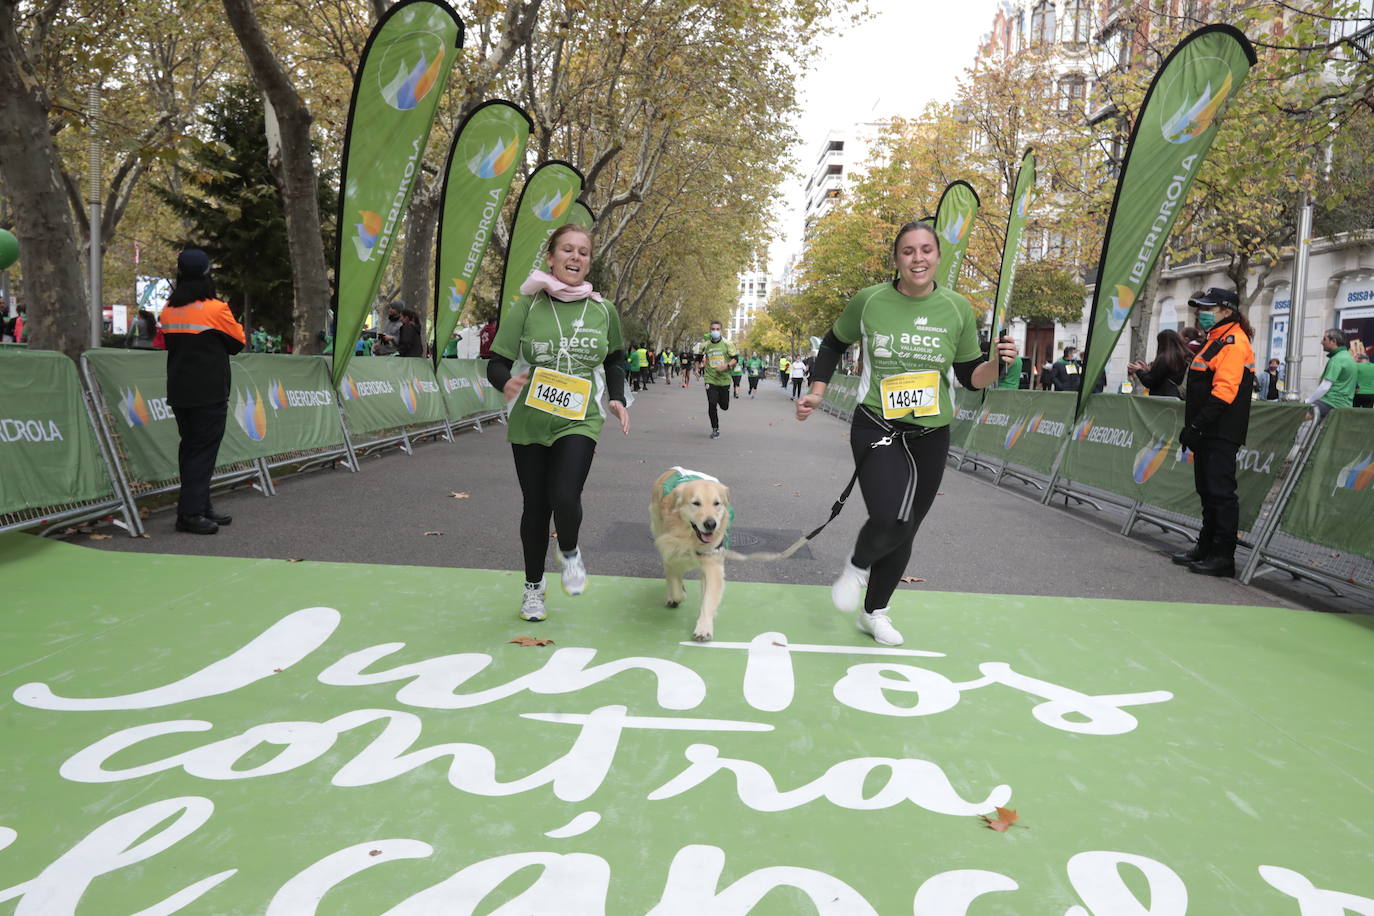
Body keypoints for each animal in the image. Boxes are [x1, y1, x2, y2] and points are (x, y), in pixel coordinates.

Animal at [651, 469, 730, 642]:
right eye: (696, 503)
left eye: (716, 503)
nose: (711, 524)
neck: (691, 537)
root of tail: (672, 470)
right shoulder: (672, 555)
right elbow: (676, 589)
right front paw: (677, 595)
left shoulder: (712, 564)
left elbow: (708, 598)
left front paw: (704, 628)